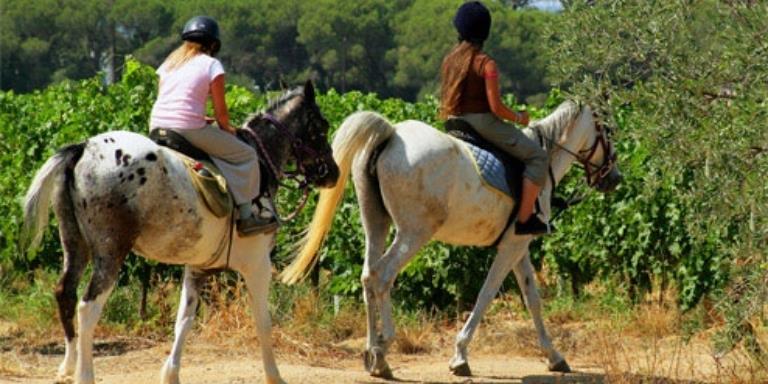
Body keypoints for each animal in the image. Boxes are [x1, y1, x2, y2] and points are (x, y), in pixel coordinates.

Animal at [22, 81, 340, 384]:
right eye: (321, 127)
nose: (333, 173)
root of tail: (84, 148)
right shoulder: (258, 266)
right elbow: (263, 322)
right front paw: (274, 376)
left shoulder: (197, 268)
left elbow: (183, 321)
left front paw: (171, 374)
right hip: (110, 252)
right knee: (87, 307)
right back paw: (84, 375)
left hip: (75, 244)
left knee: (64, 293)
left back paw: (67, 367)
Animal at [280, 100, 620, 380]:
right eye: (606, 131)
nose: (614, 179)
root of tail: (392, 133)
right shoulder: (510, 247)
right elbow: (486, 295)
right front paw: (460, 357)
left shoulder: (518, 246)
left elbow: (532, 299)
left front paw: (554, 357)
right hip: (413, 233)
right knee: (383, 276)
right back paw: (383, 350)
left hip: (376, 223)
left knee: (367, 276)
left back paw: (372, 354)